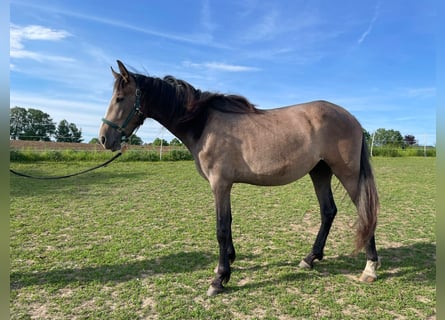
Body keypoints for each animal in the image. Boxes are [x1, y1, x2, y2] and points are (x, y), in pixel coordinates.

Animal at [99, 59, 380, 296]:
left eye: (120, 98)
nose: (103, 139)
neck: (203, 123)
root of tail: (352, 119)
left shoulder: (220, 184)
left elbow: (221, 228)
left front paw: (219, 280)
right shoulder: (225, 186)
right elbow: (229, 223)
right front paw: (227, 264)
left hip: (347, 173)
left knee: (364, 211)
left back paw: (370, 268)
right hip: (320, 171)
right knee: (328, 211)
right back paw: (310, 258)